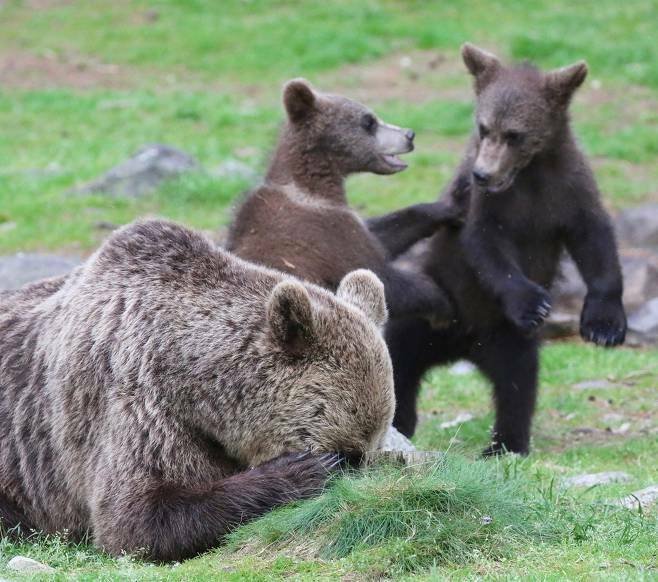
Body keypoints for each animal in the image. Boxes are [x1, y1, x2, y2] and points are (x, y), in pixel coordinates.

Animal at [0, 218, 392, 560]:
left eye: (373, 446)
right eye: (350, 453)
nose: (360, 487)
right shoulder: (133, 400)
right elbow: (134, 517)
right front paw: (303, 470)